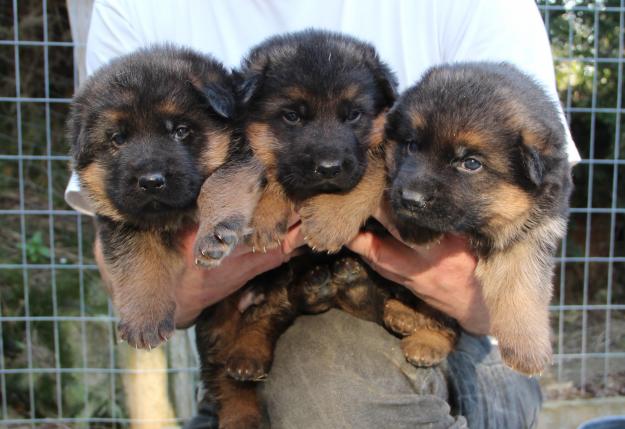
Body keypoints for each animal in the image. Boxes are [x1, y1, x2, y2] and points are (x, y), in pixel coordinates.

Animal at [67, 46, 235, 348]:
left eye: (180, 131)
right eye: (118, 138)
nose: (151, 182)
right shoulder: (122, 224)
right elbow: (138, 263)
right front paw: (144, 320)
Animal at [388, 61, 572, 372]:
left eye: (471, 163)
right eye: (411, 145)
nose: (410, 199)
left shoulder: (536, 229)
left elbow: (523, 284)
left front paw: (527, 348)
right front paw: (414, 225)